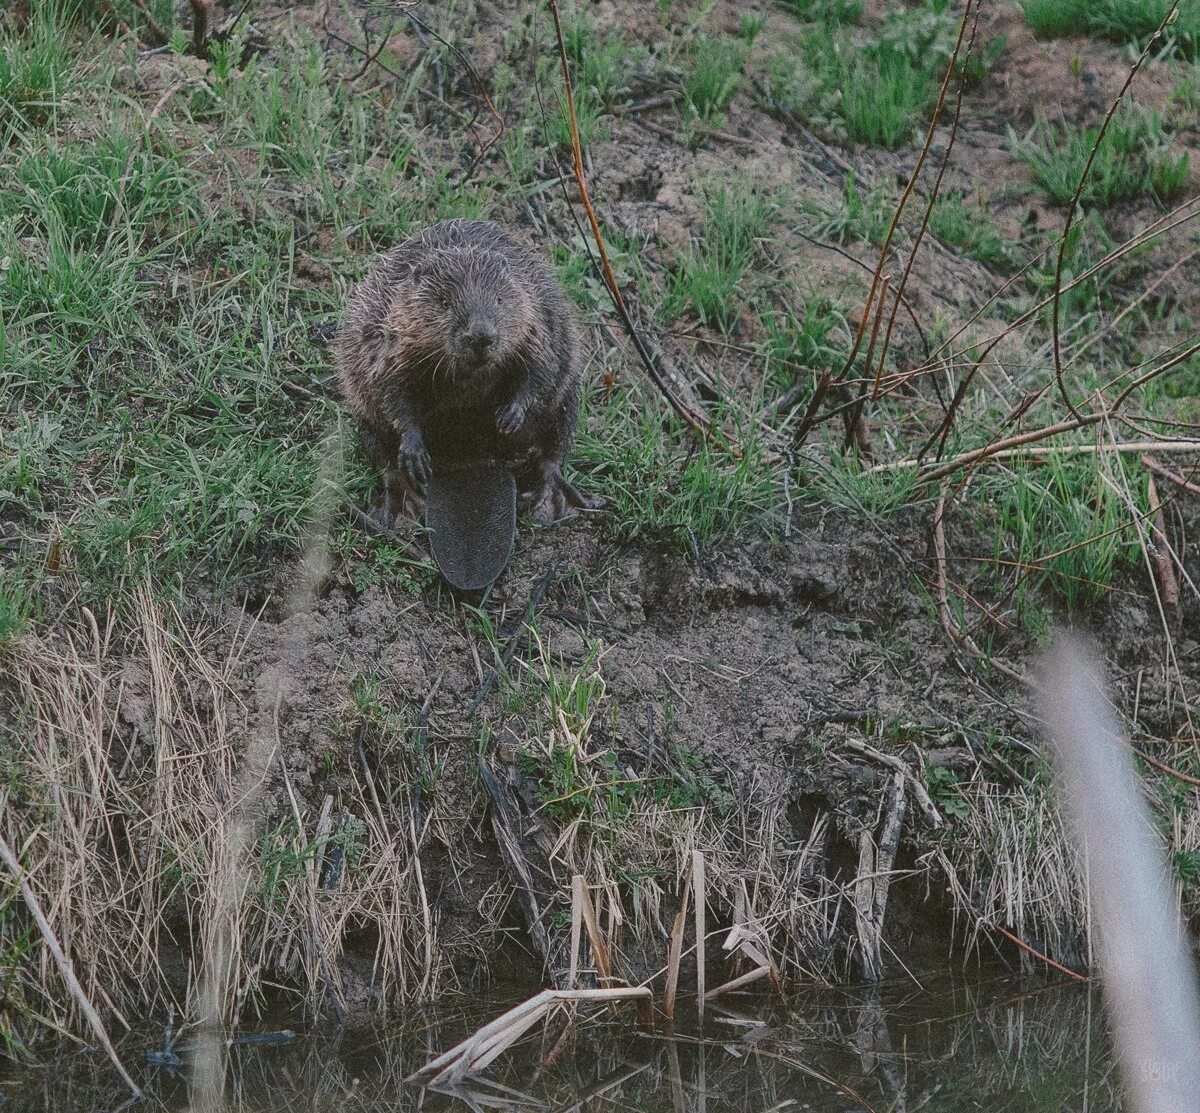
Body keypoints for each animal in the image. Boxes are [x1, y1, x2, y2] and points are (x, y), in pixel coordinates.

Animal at [333, 223, 600, 530]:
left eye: (499, 298)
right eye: (444, 301)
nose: (481, 336)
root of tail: (471, 464)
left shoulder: (536, 318)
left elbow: (541, 367)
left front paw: (509, 416)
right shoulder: (387, 336)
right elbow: (390, 388)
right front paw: (415, 453)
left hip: (567, 400)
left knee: (554, 450)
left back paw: (547, 502)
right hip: (363, 416)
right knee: (382, 455)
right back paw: (401, 507)